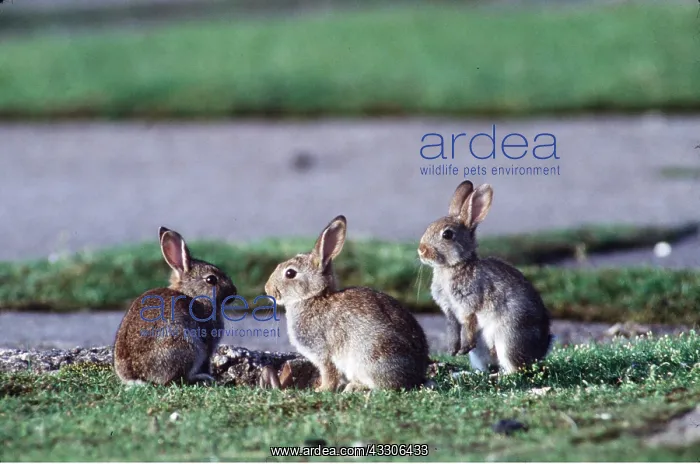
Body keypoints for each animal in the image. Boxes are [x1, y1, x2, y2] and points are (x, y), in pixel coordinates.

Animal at [113, 226, 237, 385]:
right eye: (211, 279)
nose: (234, 292)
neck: (192, 295)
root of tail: (136, 374)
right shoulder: (208, 344)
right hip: (187, 345)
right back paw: (201, 377)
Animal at [264, 215, 430, 392]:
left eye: (290, 273)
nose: (267, 289)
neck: (313, 297)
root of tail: (415, 376)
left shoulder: (324, 353)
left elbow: (329, 373)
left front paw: (321, 389)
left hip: (372, 354)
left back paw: (355, 387)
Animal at [417, 180, 553, 374]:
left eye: (447, 235)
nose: (421, 250)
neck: (455, 266)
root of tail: (540, 352)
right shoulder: (449, 310)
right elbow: (453, 327)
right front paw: (452, 350)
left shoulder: (469, 304)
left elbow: (469, 324)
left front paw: (464, 347)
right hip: (480, 354)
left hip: (509, 338)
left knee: (514, 369)